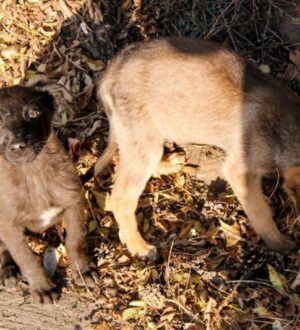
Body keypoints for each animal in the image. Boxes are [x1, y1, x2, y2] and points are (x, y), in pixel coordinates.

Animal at [0, 85, 92, 302]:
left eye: (33, 113)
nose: (18, 146)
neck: (32, 174)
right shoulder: (8, 227)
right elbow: (27, 259)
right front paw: (42, 288)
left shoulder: (74, 202)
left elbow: (75, 241)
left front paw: (83, 271)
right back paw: (8, 270)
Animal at [94, 37, 298, 260]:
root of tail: (111, 72)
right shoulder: (241, 172)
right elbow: (262, 213)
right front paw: (279, 242)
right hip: (143, 139)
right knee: (120, 198)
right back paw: (139, 246)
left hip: (152, 134)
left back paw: (170, 163)